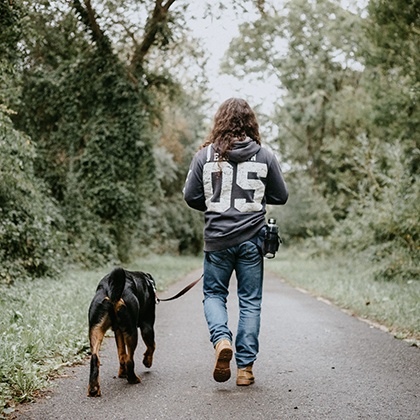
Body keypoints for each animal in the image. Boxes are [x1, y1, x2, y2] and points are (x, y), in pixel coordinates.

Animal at [87, 268, 156, 396]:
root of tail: (109, 288)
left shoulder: (118, 330)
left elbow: (121, 353)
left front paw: (122, 372)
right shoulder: (147, 325)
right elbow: (152, 346)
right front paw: (147, 361)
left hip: (96, 329)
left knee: (95, 358)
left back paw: (93, 388)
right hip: (131, 331)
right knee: (130, 359)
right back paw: (133, 378)